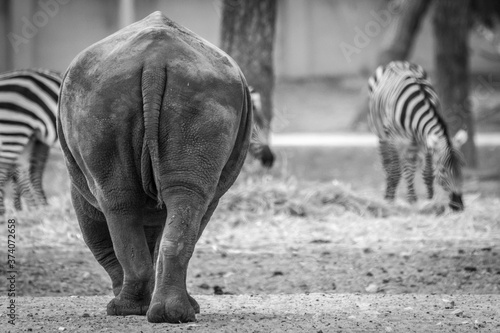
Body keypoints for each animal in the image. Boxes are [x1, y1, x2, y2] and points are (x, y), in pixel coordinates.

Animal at [58, 12, 252, 322]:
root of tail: (154, 60)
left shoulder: (79, 190)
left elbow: (102, 245)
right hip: (203, 91)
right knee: (183, 196)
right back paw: (173, 314)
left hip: (102, 93)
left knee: (118, 201)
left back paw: (125, 309)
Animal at [368, 60, 468, 210]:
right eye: (443, 170)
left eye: (461, 168)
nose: (458, 205)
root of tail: (398, 62)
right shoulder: (393, 137)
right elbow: (395, 169)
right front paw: (392, 201)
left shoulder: (423, 139)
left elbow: (427, 173)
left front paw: (429, 200)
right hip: (382, 134)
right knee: (388, 164)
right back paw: (389, 195)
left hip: (411, 142)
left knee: (408, 165)